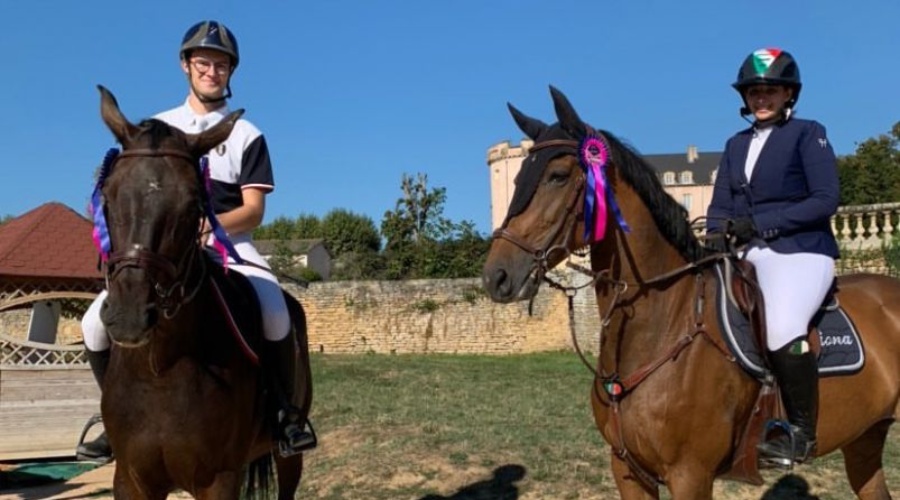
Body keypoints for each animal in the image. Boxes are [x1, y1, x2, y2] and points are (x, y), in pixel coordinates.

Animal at [92, 85, 313, 500]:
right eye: (108, 195)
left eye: (194, 202)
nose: (129, 316)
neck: (158, 370)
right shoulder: (129, 479)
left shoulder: (218, 480)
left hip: (288, 452)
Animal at [482, 86, 900, 499]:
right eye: (516, 180)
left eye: (557, 176)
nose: (496, 276)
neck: (664, 323)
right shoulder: (627, 469)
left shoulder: (690, 474)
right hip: (864, 437)